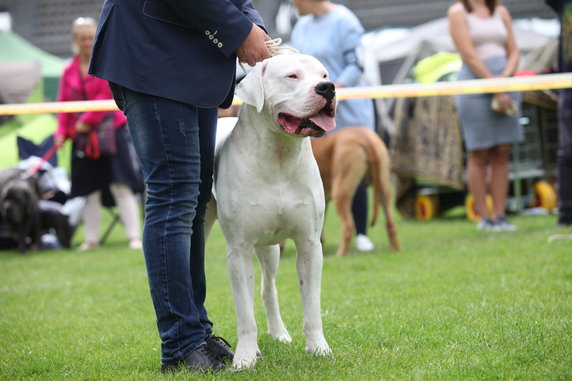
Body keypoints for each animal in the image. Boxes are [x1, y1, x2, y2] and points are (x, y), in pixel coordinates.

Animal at [206, 54, 338, 368]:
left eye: (324, 74)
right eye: (292, 76)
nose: (328, 88)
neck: (279, 155)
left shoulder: (309, 245)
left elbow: (312, 307)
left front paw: (318, 348)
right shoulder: (238, 250)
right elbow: (244, 314)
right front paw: (244, 357)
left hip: (271, 248)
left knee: (268, 288)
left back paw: (279, 333)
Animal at [310, 127, 400, 255]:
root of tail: (364, 137)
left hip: (340, 192)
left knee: (348, 227)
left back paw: (340, 255)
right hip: (384, 188)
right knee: (391, 224)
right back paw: (396, 250)